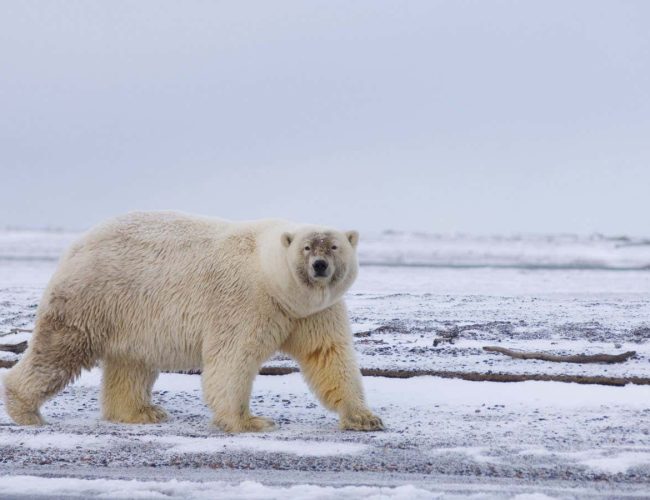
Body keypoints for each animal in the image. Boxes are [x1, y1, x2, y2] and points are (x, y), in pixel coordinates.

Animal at [2, 211, 383, 433]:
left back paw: (142, 412)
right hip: (95, 297)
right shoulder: (247, 302)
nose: (320, 266)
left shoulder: (313, 313)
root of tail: (77, 245)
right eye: (306, 248)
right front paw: (250, 421)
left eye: (333, 246)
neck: (270, 274)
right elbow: (232, 359)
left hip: (132, 314)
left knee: (132, 364)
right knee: (60, 350)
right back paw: (26, 410)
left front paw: (365, 418)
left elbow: (328, 356)